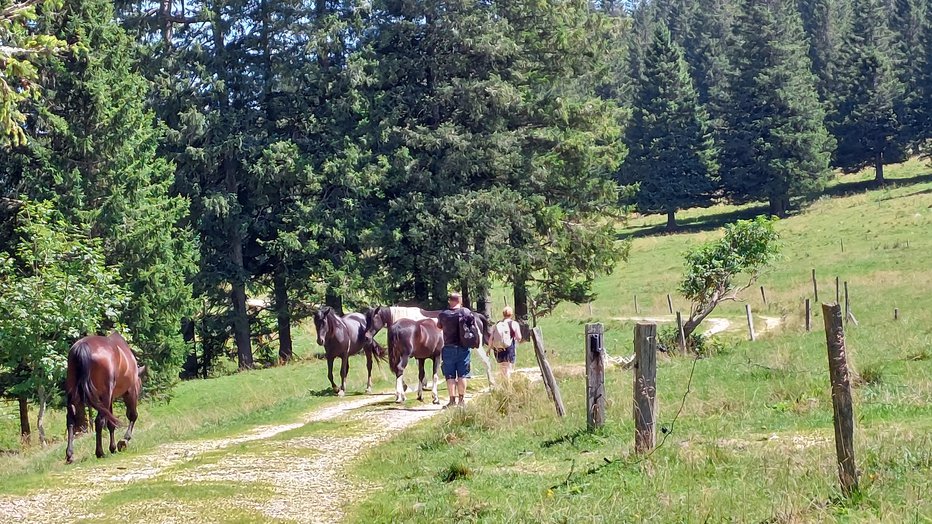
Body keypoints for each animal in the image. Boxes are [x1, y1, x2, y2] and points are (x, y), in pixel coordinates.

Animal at [64, 332, 143, 462]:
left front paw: (113, 447)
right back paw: (100, 452)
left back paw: (70, 454)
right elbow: (132, 416)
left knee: (70, 419)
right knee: (99, 421)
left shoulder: (110, 398)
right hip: (105, 396)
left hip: (74, 394)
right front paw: (124, 440)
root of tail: (82, 347)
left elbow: (111, 423)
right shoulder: (130, 390)